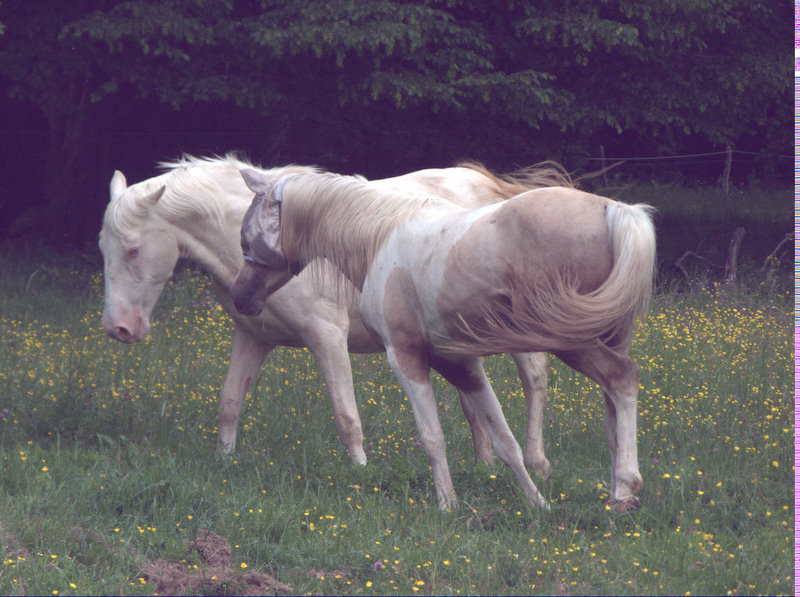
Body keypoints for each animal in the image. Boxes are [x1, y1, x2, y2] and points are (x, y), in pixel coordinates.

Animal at [100, 154, 560, 474]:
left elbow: (346, 416)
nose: (119, 328)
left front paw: (360, 473)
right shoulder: (253, 337)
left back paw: (537, 463)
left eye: (134, 249)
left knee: (534, 378)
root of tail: (492, 188)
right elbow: (229, 402)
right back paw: (485, 464)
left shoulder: (327, 337)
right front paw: (224, 461)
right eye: (104, 248)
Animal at [231, 169, 656, 512]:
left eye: (246, 239)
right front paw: (538, 504)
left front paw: (447, 506)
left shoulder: (406, 357)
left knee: (623, 378)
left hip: (573, 341)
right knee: (611, 401)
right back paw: (618, 495)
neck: (381, 236)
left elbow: (432, 437)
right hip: (607, 338)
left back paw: (625, 486)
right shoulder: (458, 363)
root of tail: (615, 210)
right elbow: (504, 440)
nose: (241, 298)